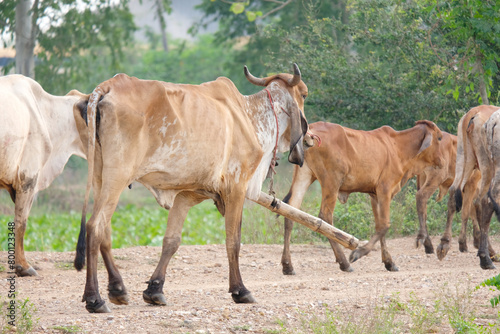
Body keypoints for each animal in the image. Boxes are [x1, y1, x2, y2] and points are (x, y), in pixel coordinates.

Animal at [73, 65, 308, 314]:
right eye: (304, 95)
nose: (309, 139)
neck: (250, 116)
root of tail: (106, 87)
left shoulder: (187, 195)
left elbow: (171, 241)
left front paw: (154, 289)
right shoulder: (237, 186)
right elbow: (233, 240)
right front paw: (240, 290)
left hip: (99, 176)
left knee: (104, 231)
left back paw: (117, 289)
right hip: (117, 176)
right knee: (95, 226)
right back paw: (95, 298)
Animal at [280, 120, 444, 274]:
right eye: (440, 138)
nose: (443, 162)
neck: (399, 147)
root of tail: (310, 130)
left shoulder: (375, 195)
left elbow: (379, 225)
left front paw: (389, 263)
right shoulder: (385, 190)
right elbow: (385, 225)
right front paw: (358, 252)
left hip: (305, 175)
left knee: (291, 210)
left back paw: (287, 265)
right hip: (331, 181)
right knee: (325, 217)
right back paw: (344, 263)